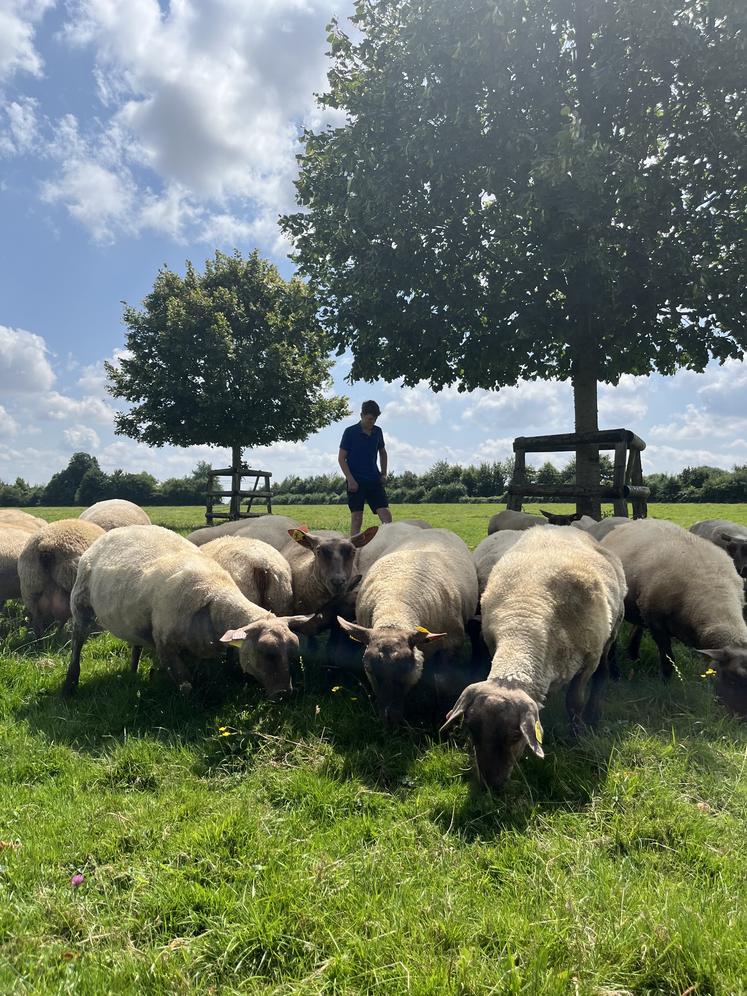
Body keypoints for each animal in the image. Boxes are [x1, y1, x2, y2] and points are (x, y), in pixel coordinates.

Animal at [62, 524, 332, 696]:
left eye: (293, 652)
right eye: (266, 652)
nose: (284, 693)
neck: (213, 598)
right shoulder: (166, 647)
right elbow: (187, 687)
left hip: (133, 616)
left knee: (135, 641)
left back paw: (132, 670)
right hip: (80, 603)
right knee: (77, 641)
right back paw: (70, 684)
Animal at [334, 528, 476, 724]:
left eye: (407, 667)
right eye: (369, 669)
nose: (390, 719)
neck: (396, 610)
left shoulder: (450, 646)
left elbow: (442, 683)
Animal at [442, 524, 628, 788]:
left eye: (515, 735)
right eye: (471, 729)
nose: (491, 785)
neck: (525, 624)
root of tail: (562, 527)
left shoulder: (588, 660)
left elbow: (575, 701)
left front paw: (577, 734)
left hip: (611, 632)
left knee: (603, 672)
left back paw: (594, 714)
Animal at [600, 516, 747, 680]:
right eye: (733, 677)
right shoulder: (656, 623)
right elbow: (668, 659)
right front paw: (665, 682)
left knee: (636, 628)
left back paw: (633, 655)